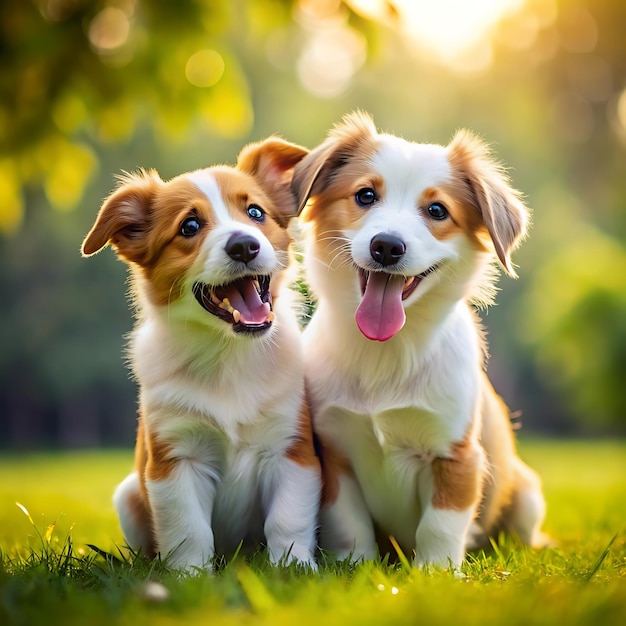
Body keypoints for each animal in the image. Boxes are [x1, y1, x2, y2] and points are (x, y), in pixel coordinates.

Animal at [80, 139, 320, 572]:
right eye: (189, 227)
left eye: (255, 212)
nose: (244, 245)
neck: (228, 354)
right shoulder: (176, 459)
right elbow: (187, 529)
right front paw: (191, 576)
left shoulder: (291, 449)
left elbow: (287, 520)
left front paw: (293, 570)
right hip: (128, 495)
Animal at [290, 111, 544, 564]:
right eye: (366, 195)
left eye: (437, 210)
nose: (387, 246)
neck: (385, 352)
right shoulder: (335, 453)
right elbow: (350, 525)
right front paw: (357, 568)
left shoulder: (456, 455)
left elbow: (439, 527)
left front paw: (435, 572)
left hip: (528, 495)